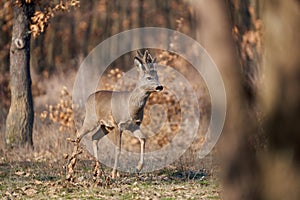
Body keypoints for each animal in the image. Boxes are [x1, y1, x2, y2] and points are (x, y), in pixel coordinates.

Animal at [76, 50, 163, 178]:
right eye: (148, 77)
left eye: (157, 76)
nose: (160, 86)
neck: (131, 107)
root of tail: (88, 98)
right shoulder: (119, 124)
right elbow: (118, 149)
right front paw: (114, 173)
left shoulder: (134, 125)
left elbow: (143, 139)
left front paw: (138, 167)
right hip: (91, 119)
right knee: (79, 134)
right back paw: (72, 165)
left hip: (106, 126)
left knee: (94, 137)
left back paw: (98, 171)